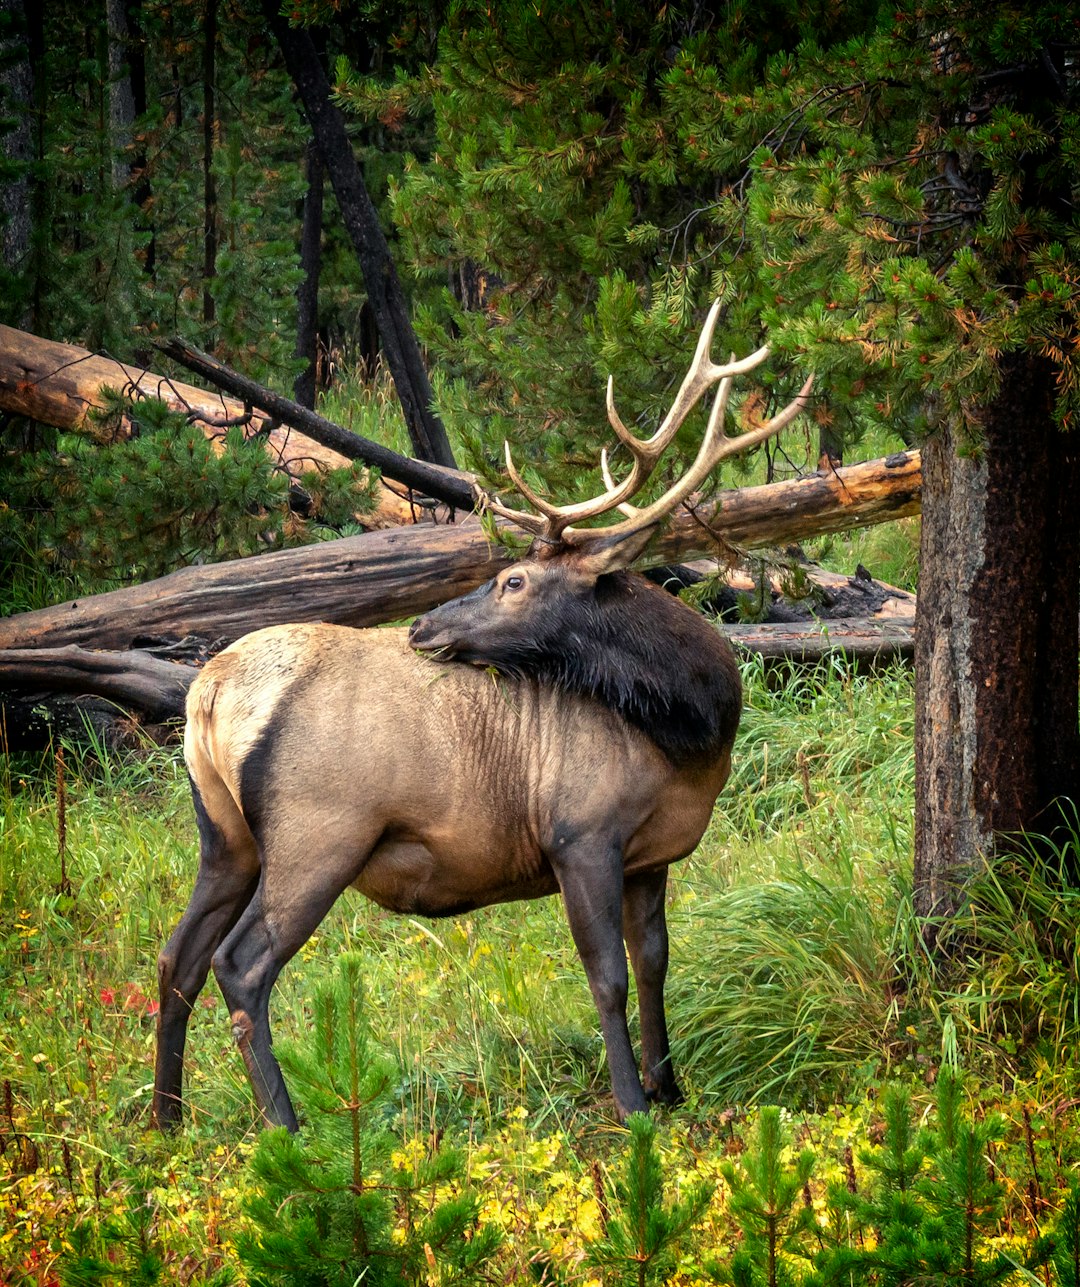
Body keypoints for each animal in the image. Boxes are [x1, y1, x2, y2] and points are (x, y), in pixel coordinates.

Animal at [149, 306, 813, 1132]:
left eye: (513, 581)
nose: (421, 626)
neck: (691, 738)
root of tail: (207, 691)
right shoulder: (580, 833)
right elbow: (608, 976)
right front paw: (633, 1103)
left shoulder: (650, 855)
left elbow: (656, 962)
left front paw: (673, 1086)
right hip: (319, 832)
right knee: (240, 965)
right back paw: (286, 1125)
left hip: (225, 836)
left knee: (176, 957)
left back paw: (166, 1119)